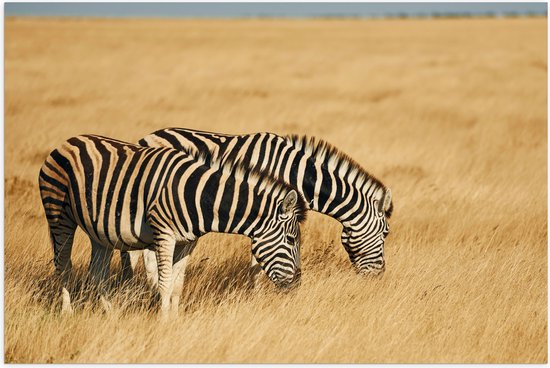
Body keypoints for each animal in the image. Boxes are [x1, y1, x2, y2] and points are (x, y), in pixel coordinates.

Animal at [38, 134, 306, 316]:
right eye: (291, 240)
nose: (297, 285)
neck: (201, 196)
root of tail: (67, 142)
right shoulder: (164, 235)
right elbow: (165, 284)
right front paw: (163, 323)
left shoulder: (188, 242)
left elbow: (177, 285)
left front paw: (175, 322)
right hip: (59, 215)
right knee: (63, 266)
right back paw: (67, 313)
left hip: (100, 231)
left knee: (97, 274)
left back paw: (111, 315)